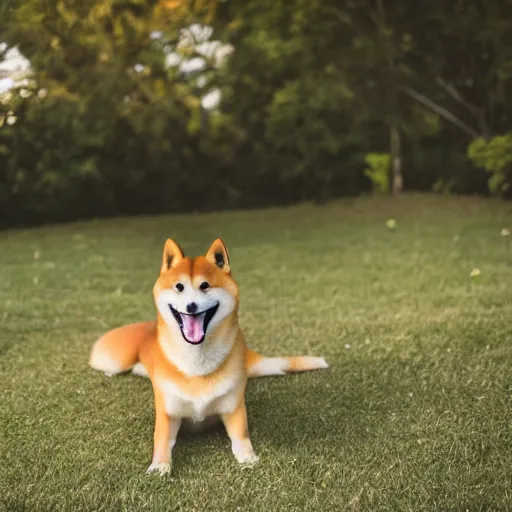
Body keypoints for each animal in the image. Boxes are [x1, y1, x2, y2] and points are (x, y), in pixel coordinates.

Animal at [88, 238, 328, 474]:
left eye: (205, 286)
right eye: (179, 287)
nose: (191, 306)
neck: (196, 359)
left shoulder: (233, 407)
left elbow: (241, 435)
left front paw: (248, 458)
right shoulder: (168, 412)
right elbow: (161, 438)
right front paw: (159, 466)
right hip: (114, 360)